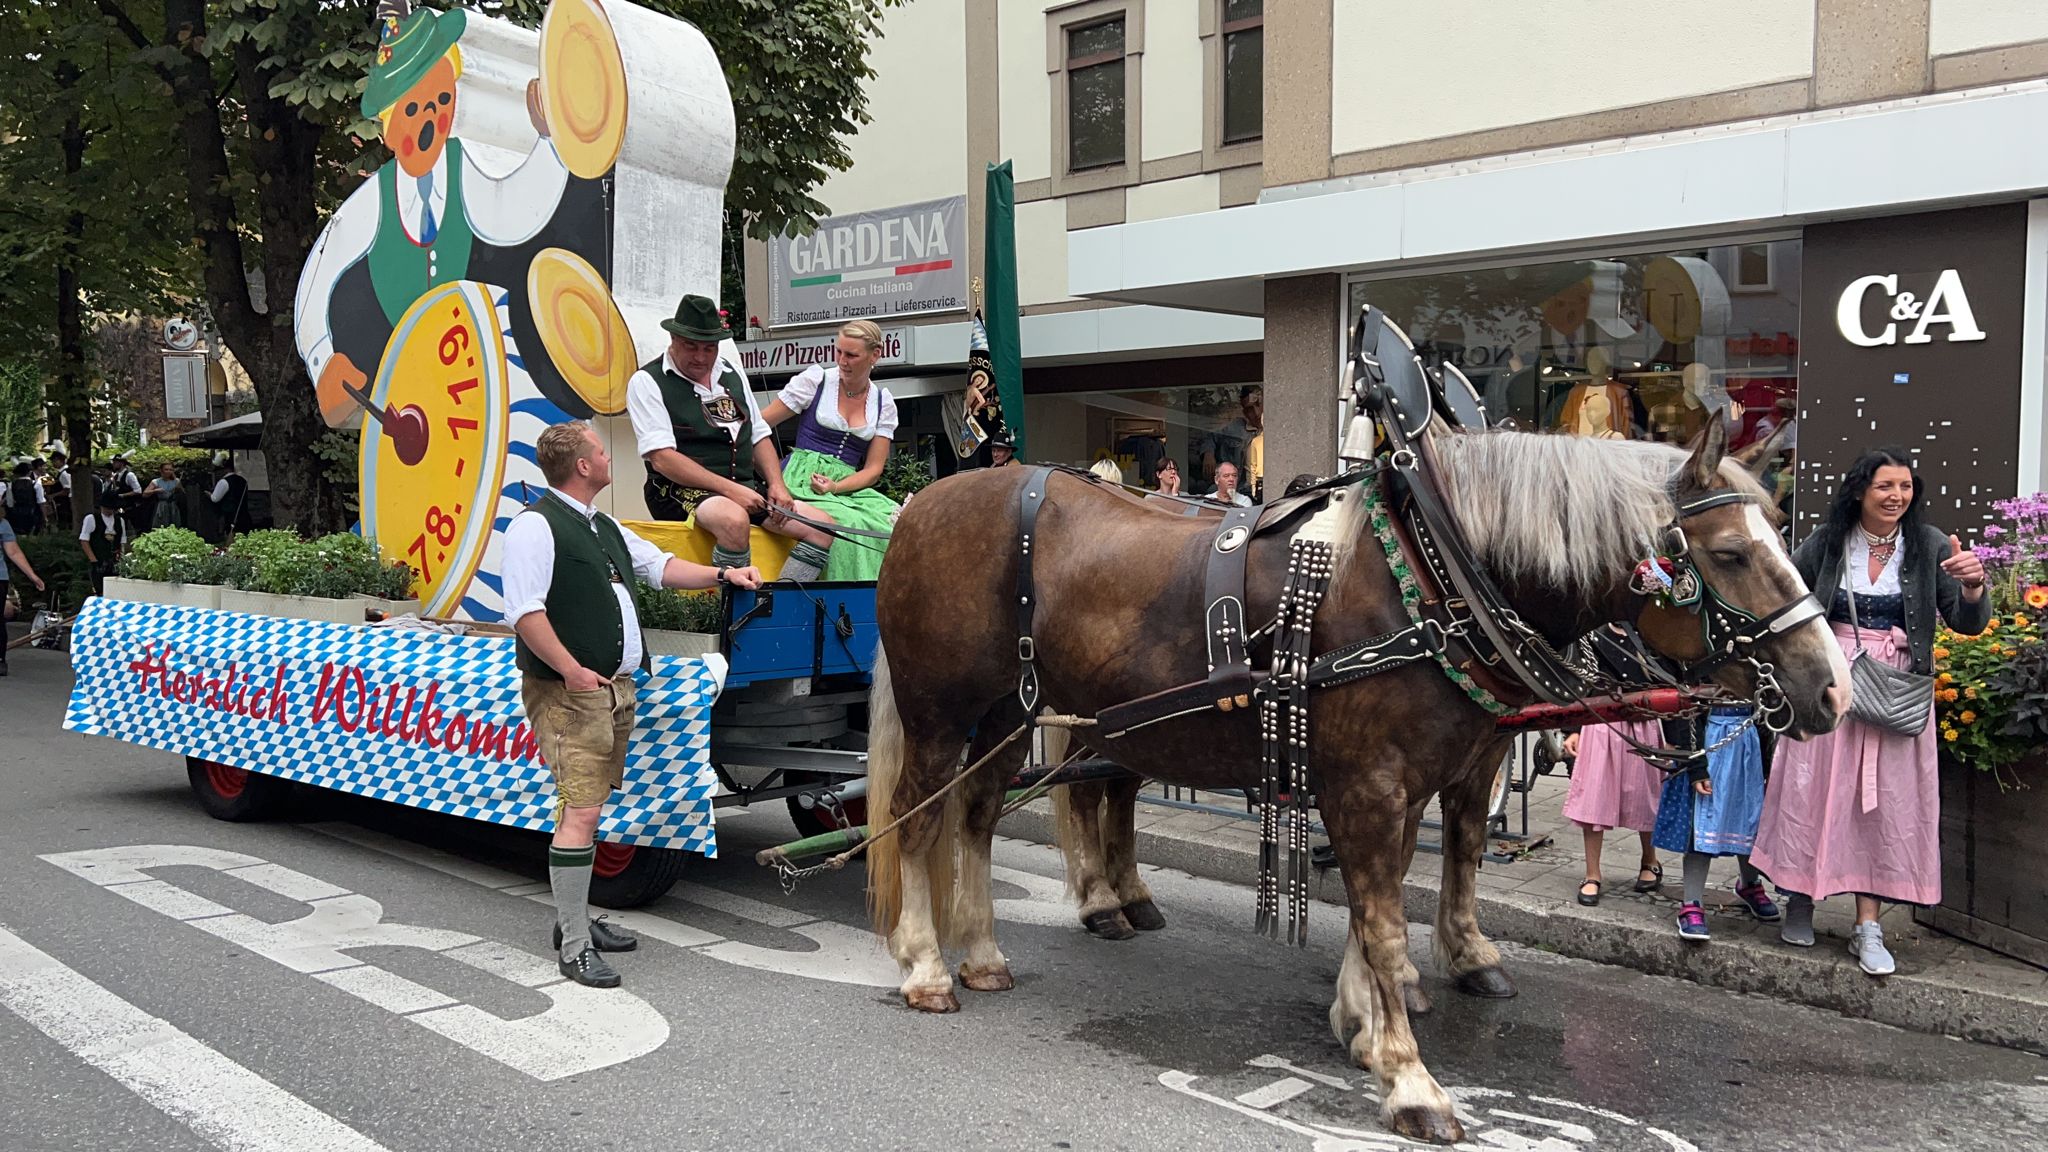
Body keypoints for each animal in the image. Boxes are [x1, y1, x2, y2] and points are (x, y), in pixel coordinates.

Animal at [861, 420, 1847, 1144]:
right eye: (1729, 554)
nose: (1831, 687)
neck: (1429, 577)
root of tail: (923, 502)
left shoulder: (1411, 781)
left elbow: (1407, 891)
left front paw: (1371, 1021)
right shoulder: (1371, 786)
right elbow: (1382, 918)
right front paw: (1411, 1078)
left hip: (1011, 715)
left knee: (980, 816)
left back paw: (985, 952)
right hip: (944, 715)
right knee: (918, 819)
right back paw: (926, 964)